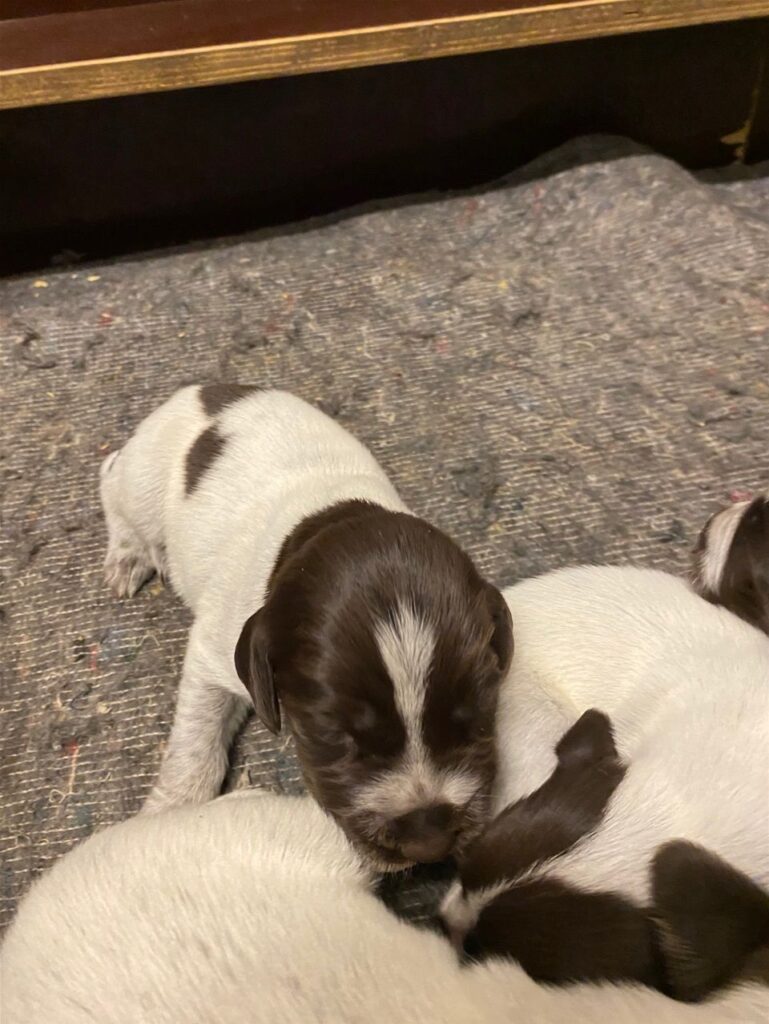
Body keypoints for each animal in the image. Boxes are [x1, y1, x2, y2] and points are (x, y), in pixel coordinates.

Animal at [100, 385, 513, 867]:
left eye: (477, 719)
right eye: (333, 736)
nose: (428, 845)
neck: (331, 515)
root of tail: (205, 389)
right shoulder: (213, 657)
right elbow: (195, 747)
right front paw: (172, 814)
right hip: (143, 478)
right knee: (111, 478)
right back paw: (129, 552)